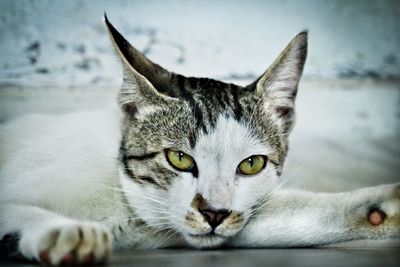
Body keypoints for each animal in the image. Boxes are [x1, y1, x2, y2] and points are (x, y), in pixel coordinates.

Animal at [0, 15, 398, 266]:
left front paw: (382, 207)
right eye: (179, 158)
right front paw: (65, 232)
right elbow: (16, 208)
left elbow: (296, 215)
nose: (214, 213)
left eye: (251, 164)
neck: (124, 206)